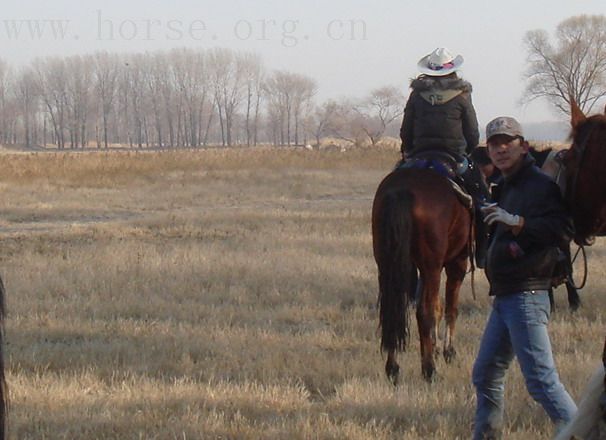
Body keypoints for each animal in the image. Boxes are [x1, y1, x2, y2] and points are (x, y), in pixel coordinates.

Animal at [372, 165, 472, 382]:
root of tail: (401, 190)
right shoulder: (456, 263)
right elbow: (450, 307)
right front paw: (448, 351)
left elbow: (438, 306)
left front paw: (435, 346)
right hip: (433, 266)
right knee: (423, 312)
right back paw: (429, 369)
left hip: (388, 263)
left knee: (393, 309)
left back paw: (393, 368)